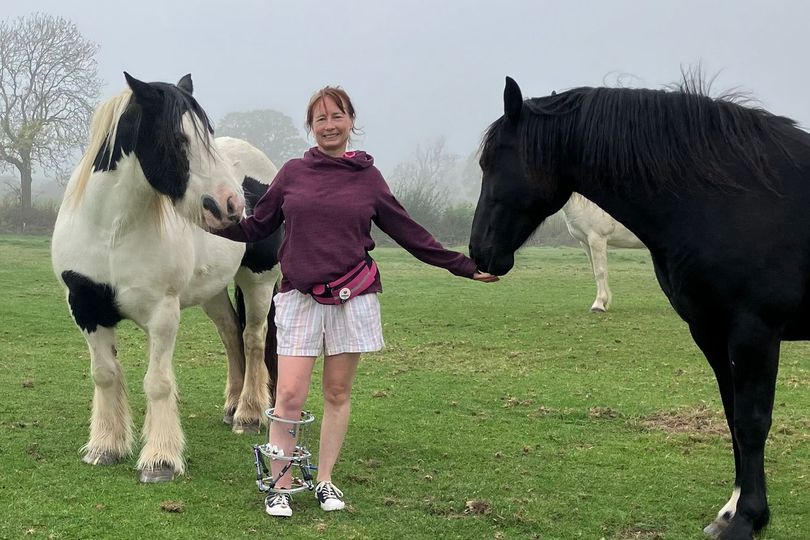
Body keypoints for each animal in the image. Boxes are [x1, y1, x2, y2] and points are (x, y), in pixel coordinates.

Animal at [51, 73, 280, 482]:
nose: (231, 205)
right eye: (178, 139)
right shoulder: (86, 307)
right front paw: (105, 448)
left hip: (259, 280)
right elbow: (104, 374)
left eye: (207, 133)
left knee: (253, 339)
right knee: (230, 334)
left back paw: (249, 415)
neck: (111, 231)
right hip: (212, 290)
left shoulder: (162, 313)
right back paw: (231, 407)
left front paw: (159, 461)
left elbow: (157, 384)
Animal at [470, 76, 810, 540]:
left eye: (491, 163)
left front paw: (748, 519)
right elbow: (732, 417)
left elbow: (752, 421)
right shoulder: (712, 332)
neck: (736, 198)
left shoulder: (754, 332)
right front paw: (733, 509)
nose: (478, 252)